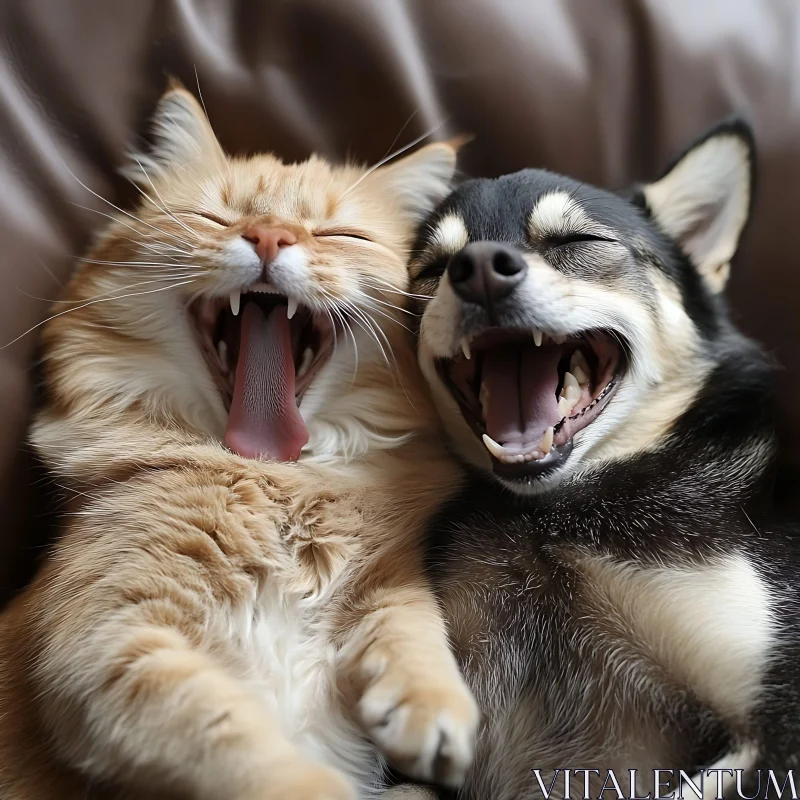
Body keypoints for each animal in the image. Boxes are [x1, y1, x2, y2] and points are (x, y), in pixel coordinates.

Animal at [0, 84, 476, 796]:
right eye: (214, 217)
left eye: (342, 235)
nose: (271, 236)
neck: (275, 477)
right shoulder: (110, 643)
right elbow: (247, 748)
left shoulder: (385, 582)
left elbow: (415, 624)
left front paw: (434, 710)